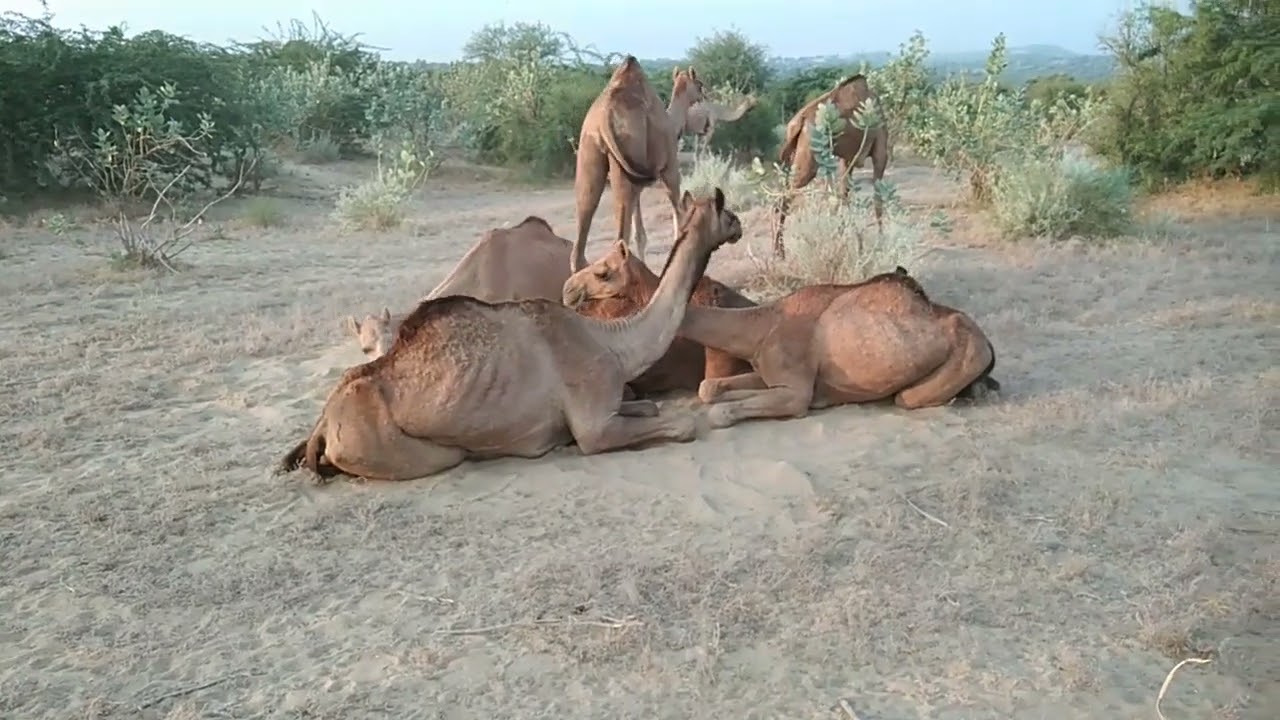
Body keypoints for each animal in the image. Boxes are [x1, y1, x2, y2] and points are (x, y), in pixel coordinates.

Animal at [572, 56, 705, 273]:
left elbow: (640, 235)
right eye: (699, 84)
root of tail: (604, 116)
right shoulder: (670, 169)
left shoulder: (638, 187)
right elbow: (679, 220)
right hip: (625, 156)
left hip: (590, 151)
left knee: (585, 211)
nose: (704, 95)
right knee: (619, 240)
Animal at [672, 266, 1000, 430]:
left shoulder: (795, 391)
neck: (763, 326)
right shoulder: (772, 373)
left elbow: (721, 412)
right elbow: (708, 388)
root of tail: (988, 343)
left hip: (967, 354)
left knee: (907, 396)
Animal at [774, 74, 890, 258]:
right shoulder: (880, 152)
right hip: (809, 161)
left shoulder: (847, 160)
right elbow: (877, 200)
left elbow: (841, 197)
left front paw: (844, 240)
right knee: (783, 199)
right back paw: (780, 252)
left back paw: (778, 251)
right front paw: (879, 243)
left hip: (797, 155)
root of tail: (799, 121)